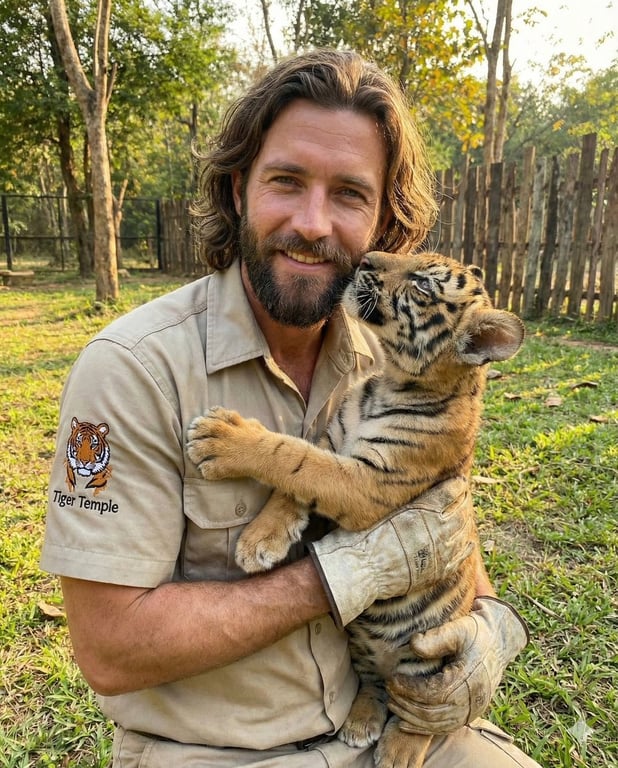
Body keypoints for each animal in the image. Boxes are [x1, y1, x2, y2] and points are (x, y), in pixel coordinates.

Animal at [186, 250, 524, 767]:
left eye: (422, 284)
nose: (366, 258)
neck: (393, 381)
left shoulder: (367, 482)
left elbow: (294, 458)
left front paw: (222, 437)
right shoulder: (334, 439)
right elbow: (296, 475)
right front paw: (262, 539)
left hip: (429, 655)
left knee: (421, 711)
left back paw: (399, 749)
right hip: (362, 642)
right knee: (374, 683)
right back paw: (361, 721)